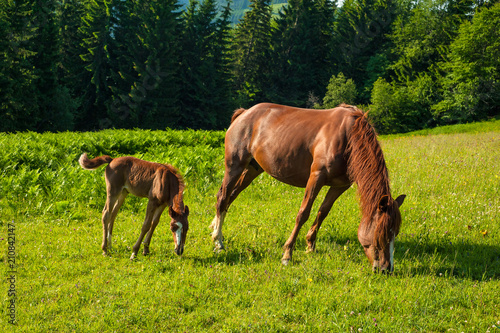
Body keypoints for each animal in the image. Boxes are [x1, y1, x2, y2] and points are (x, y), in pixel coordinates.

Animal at [211, 103, 406, 272]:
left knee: (231, 197)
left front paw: (310, 245)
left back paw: (214, 229)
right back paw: (219, 243)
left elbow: (323, 212)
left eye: (395, 233)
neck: (348, 136)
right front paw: (287, 254)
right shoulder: (316, 177)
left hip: (252, 169)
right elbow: (303, 213)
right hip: (234, 166)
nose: (386, 269)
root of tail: (244, 114)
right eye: (381, 233)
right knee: (223, 197)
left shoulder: (340, 186)